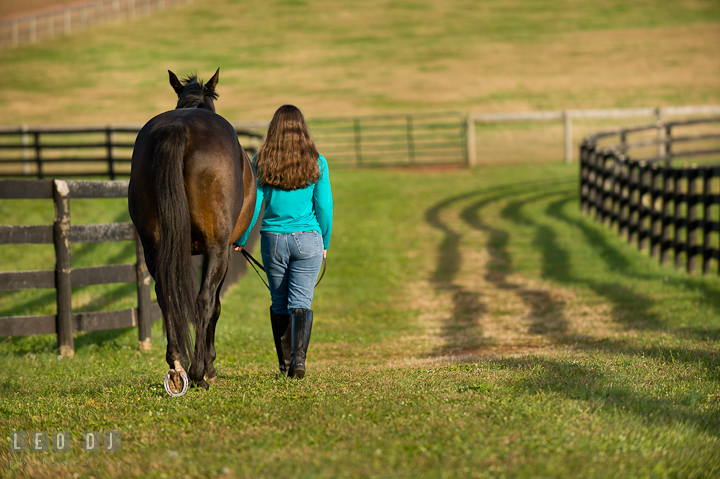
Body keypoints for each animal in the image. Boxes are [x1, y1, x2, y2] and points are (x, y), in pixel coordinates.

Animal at [130, 68, 258, 398]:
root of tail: (179, 128)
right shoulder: (222, 250)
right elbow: (215, 305)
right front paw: (210, 366)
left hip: (154, 246)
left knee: (165, 297)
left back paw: (177, 367)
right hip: (217, 246)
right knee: (204, 300)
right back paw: (199, 371)